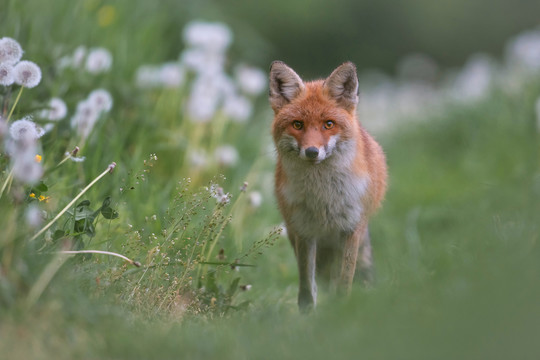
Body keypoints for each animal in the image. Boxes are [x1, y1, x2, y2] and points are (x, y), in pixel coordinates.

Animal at [268, 60, 386, 310]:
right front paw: (309, 314)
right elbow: (306, 287)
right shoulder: (303, 231)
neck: (323, 197)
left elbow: (344, 284)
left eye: (328, 124)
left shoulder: (351, 229)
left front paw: (341, 312)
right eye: (298, 125)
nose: (312, 152)